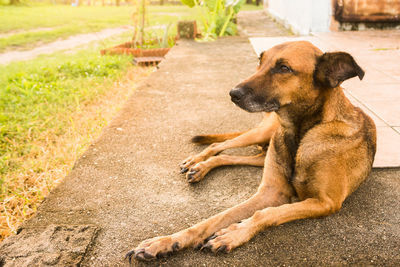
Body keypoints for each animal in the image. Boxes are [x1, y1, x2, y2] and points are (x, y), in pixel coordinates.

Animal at [126, 40, 376, 262]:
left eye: (283, 68)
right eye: (260, 61)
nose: (233, 93)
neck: (301, 132)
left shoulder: (326, 202)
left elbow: (266, 213)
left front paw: (233, 233)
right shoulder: (270, 193)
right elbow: (216, 218)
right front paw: (165, 241)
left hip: (263, 152)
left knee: (228, 156)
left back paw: (201, 167)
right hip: (262, 134)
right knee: (219, 145)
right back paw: (196, 162)